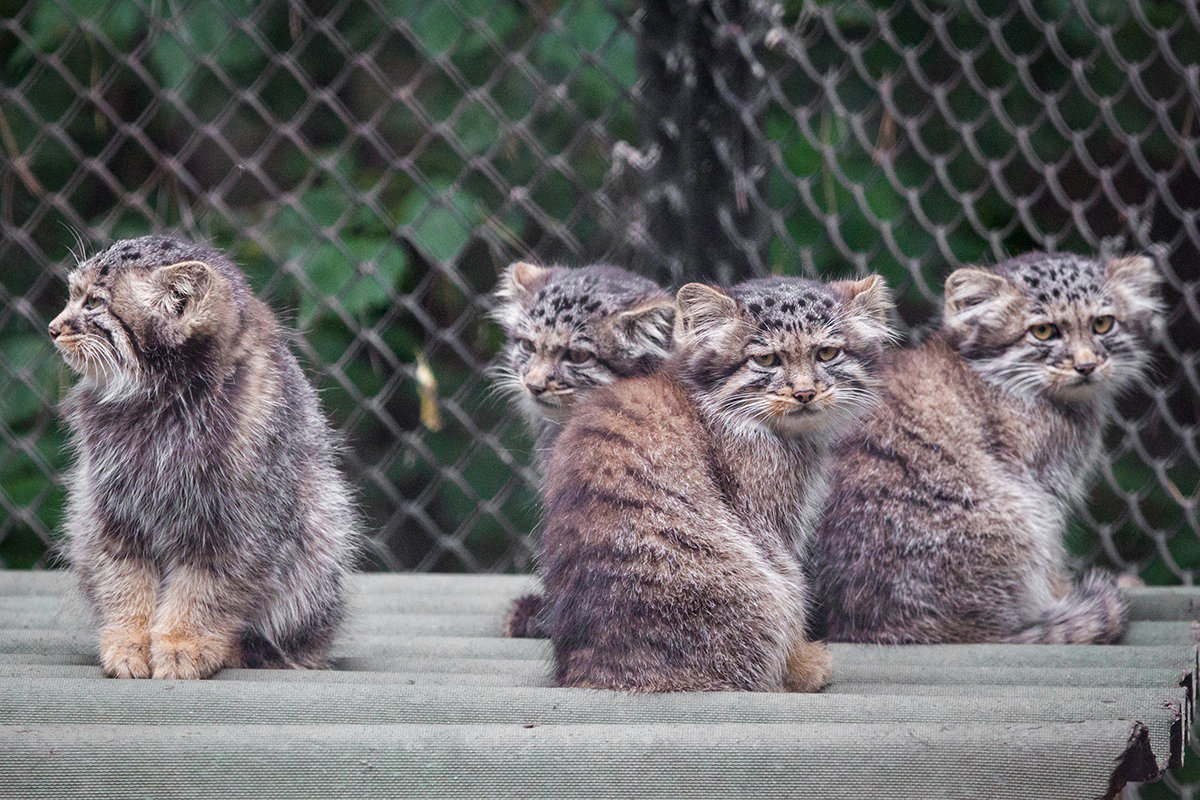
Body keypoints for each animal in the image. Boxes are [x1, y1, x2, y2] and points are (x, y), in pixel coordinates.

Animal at [50, 235, 360, 681]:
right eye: (73, 295)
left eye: (93, 302)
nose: (52, 327)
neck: (160, 406)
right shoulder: (112, 516)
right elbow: (125, 582)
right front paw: (128, 642)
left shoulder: (234, 531)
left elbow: (203, 592)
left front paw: (184, 643)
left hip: (321, 538)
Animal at [540, 273, 897, 690]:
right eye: (766, 359)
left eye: (826, 354)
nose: (805, 393)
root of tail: (591, 671)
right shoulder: (766, 522)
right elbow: (790, 583)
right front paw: (799, 664)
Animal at [816, 253, 1161, 647]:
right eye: (1044, 332)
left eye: (1102, 324)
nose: (1086, 366)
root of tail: (864, 627)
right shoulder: (1041, 485)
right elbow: (1052, 550)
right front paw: (1059, 593)